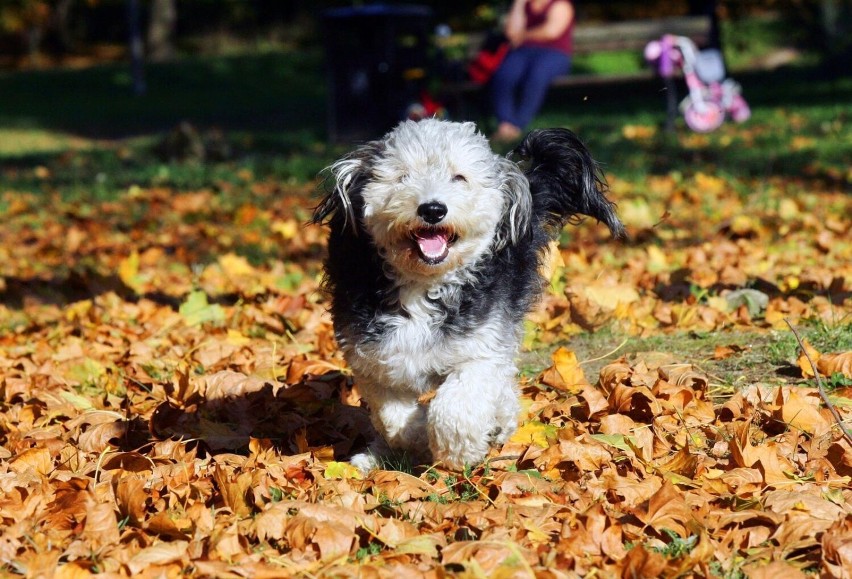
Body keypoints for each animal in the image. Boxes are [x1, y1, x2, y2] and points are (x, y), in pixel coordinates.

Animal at [314, 118, 624, 472]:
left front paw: (457, 451)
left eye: (459, 177)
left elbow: (457, 406)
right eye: (402, 176)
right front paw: (416, 438)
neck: (424, 285)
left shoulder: (482, 346)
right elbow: (394, 416)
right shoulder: (374, 359)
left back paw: (498, 423)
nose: (433, 209)